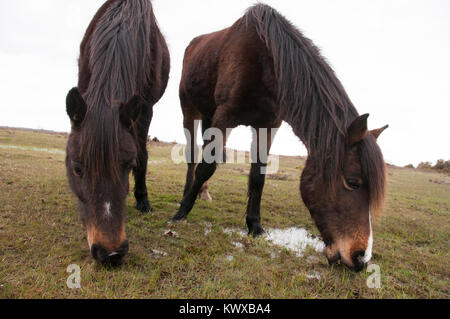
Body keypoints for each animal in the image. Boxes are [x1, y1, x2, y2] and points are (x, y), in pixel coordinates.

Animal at [63, 0, 169, 264]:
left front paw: (143, 199)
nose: (110, 253)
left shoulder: (145, 109)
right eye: (77, 168)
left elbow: (142, 154)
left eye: (128, 166)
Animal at [172, 3, 386, 272]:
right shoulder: (225, 116)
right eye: (353, 182)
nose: (360, 258)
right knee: (192, 156)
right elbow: (206, 166)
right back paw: (187, 195)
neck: (265, 61)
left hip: (208, 117)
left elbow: (258, 175)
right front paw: (181, 213)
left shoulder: (267, 125)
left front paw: (254, 225)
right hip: (190, 111)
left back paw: (203, 193)